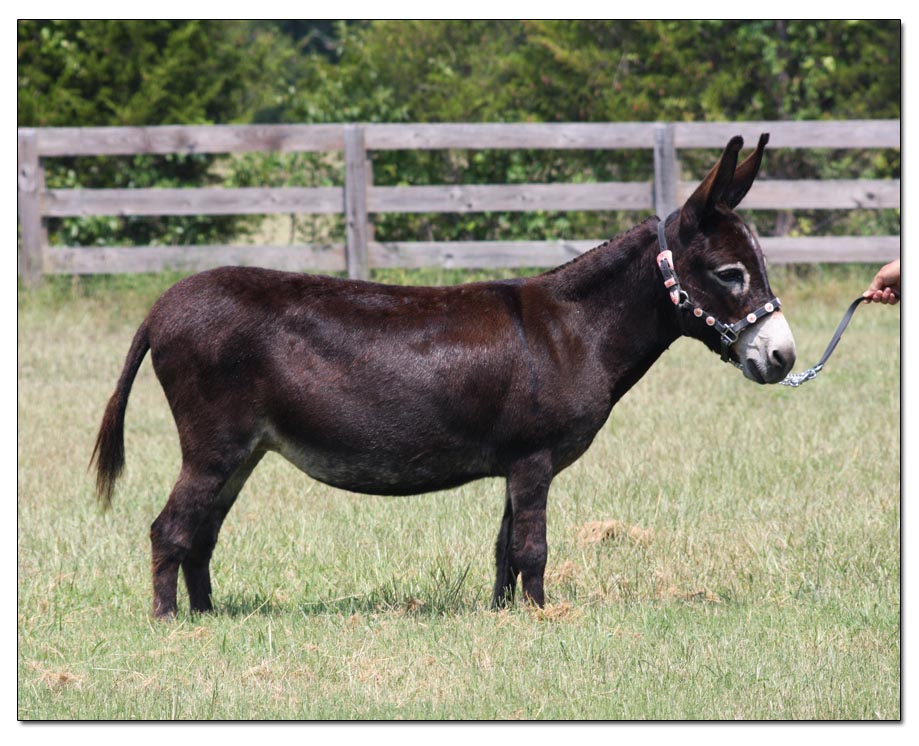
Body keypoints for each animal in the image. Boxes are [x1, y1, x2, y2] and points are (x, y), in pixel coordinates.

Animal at [92, 134, 796, 618]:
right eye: (731, 274)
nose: (785, 358)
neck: (575, 329)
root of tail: (160, 305)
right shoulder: (534, 459)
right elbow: (532, 548)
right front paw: (544, 620)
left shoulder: (518, 462)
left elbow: (505, 548)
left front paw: (505, 616)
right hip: (214, 446)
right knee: (170, 529)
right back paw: (169, 624)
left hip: (242, 453)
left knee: (202, 534)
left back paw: (208, 617)